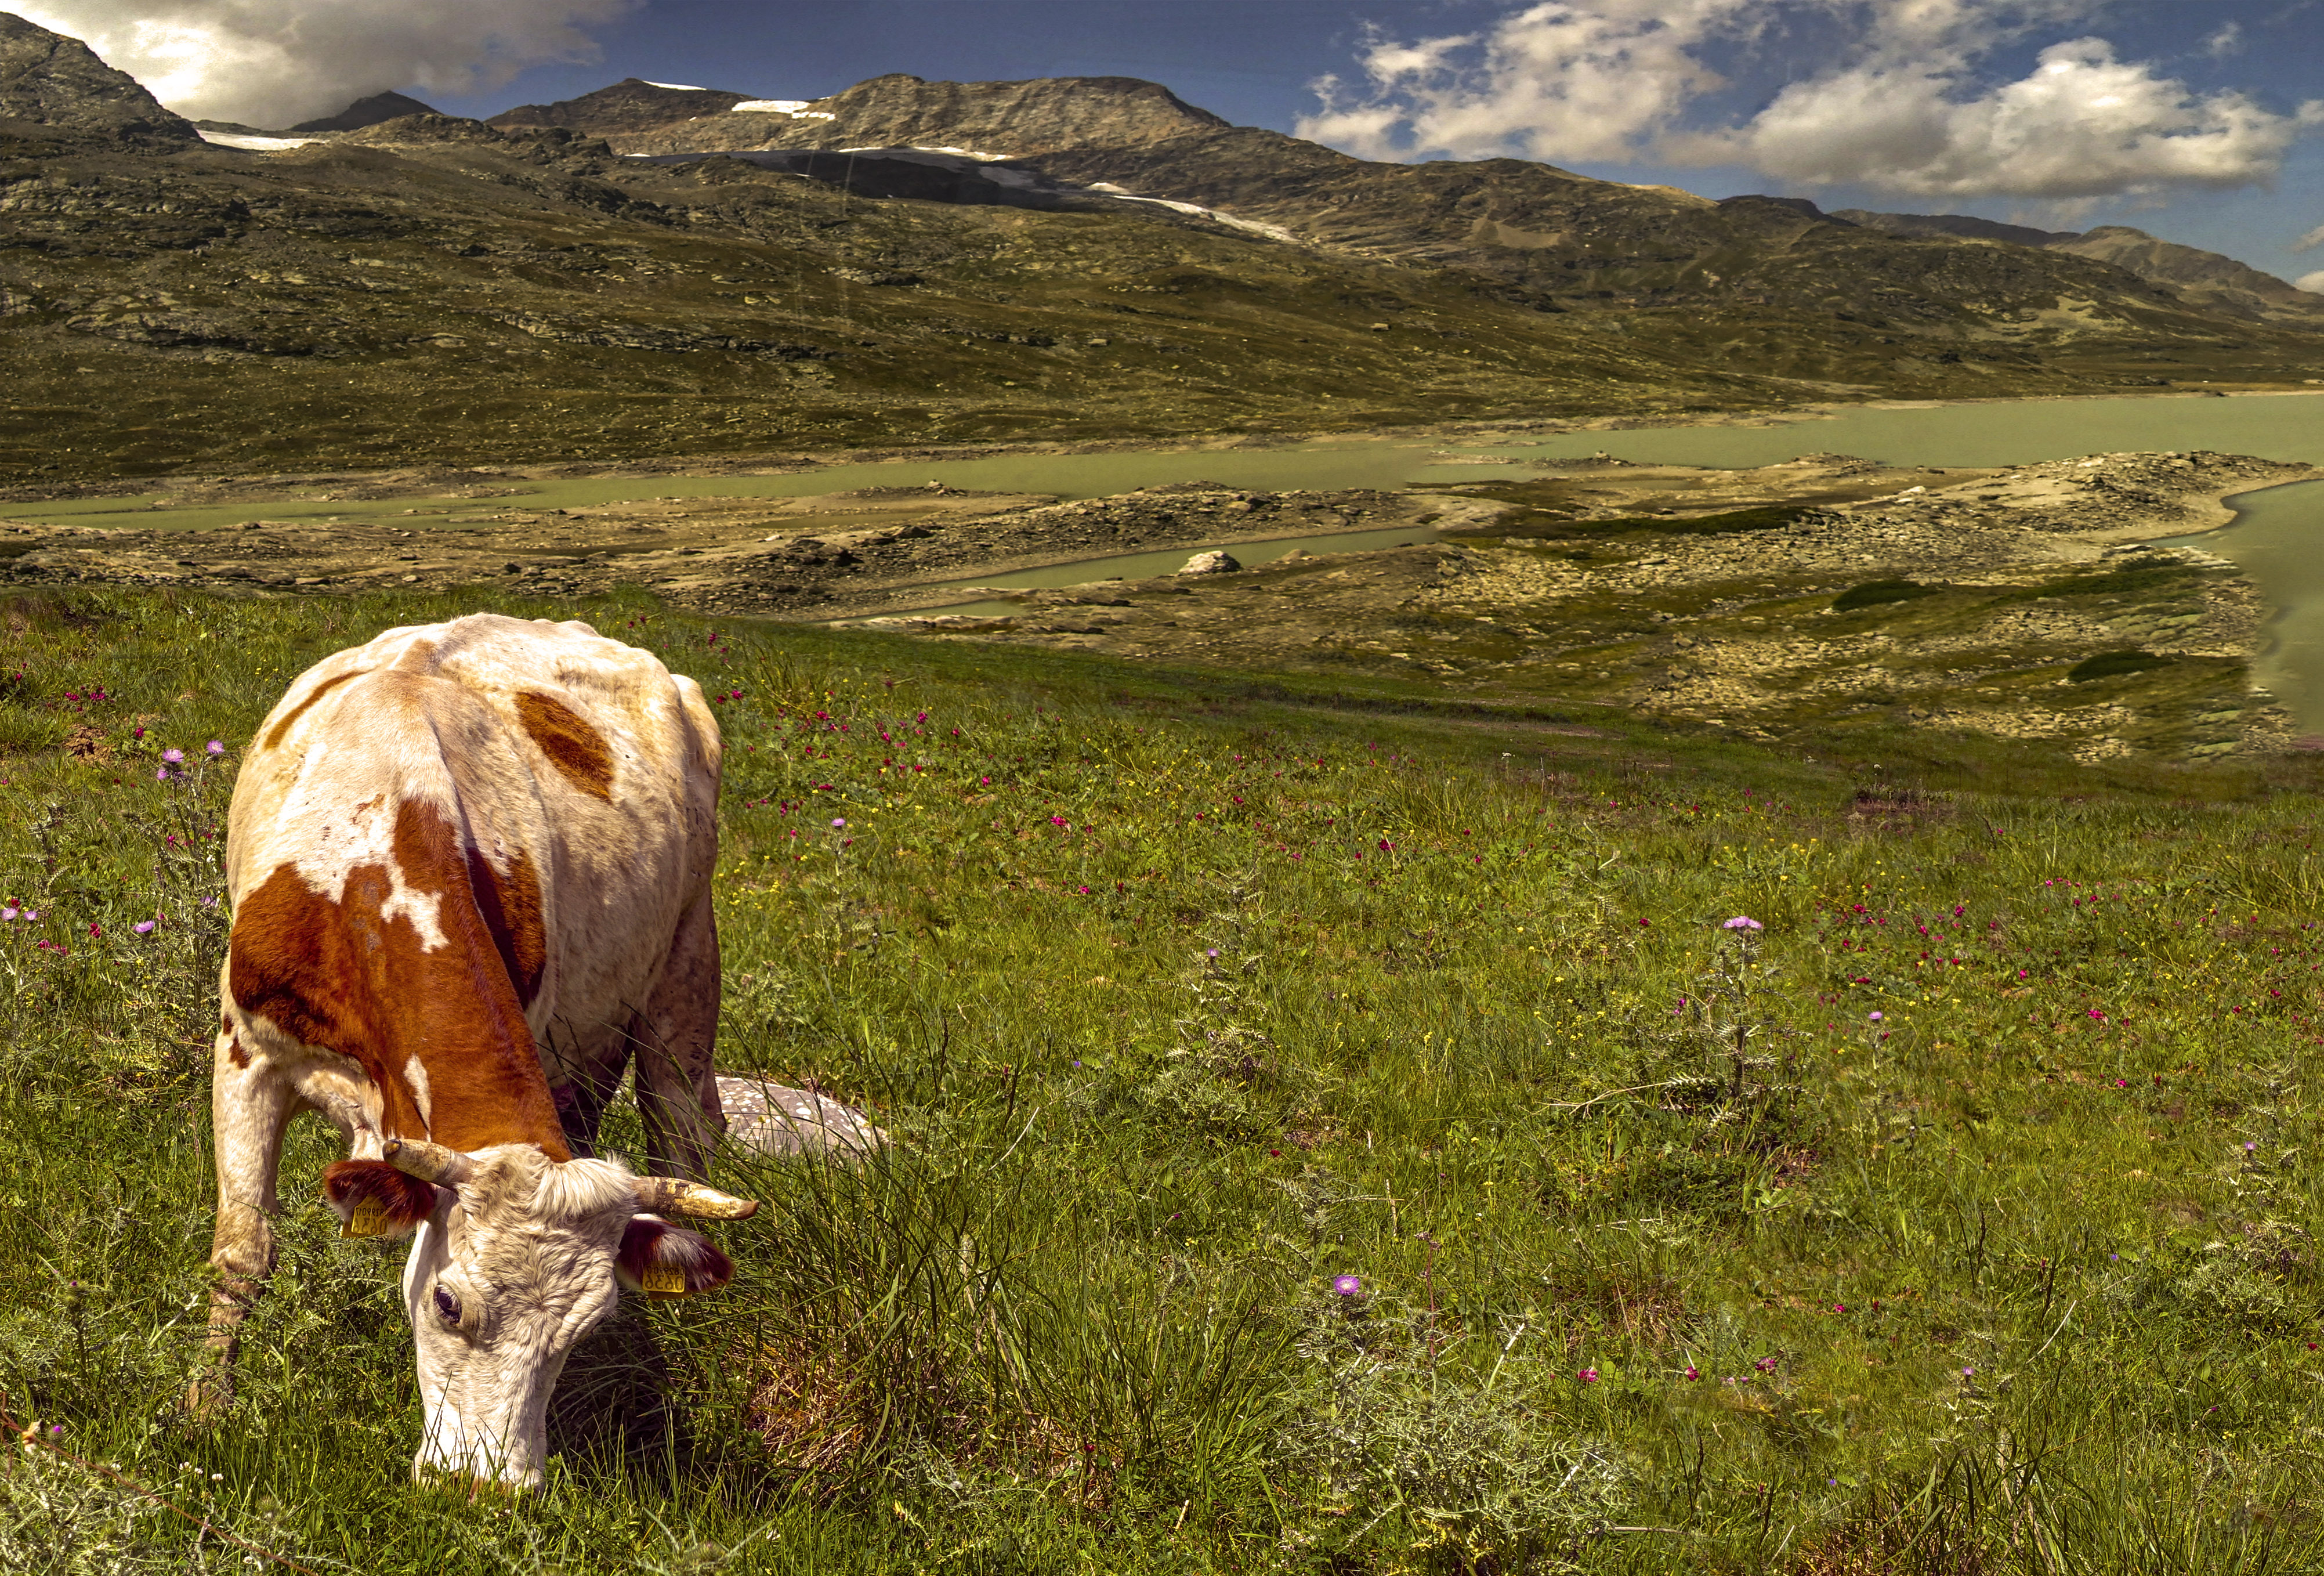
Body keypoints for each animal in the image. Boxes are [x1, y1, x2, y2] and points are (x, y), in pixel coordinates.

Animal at [207, 613, 752, 1497]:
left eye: (585, 1331)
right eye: (448, 1303)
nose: (489, 1486)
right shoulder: (245, 1054)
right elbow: (242, 1250)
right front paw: (203, 1407)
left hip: (684, 963)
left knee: (681, 1123)